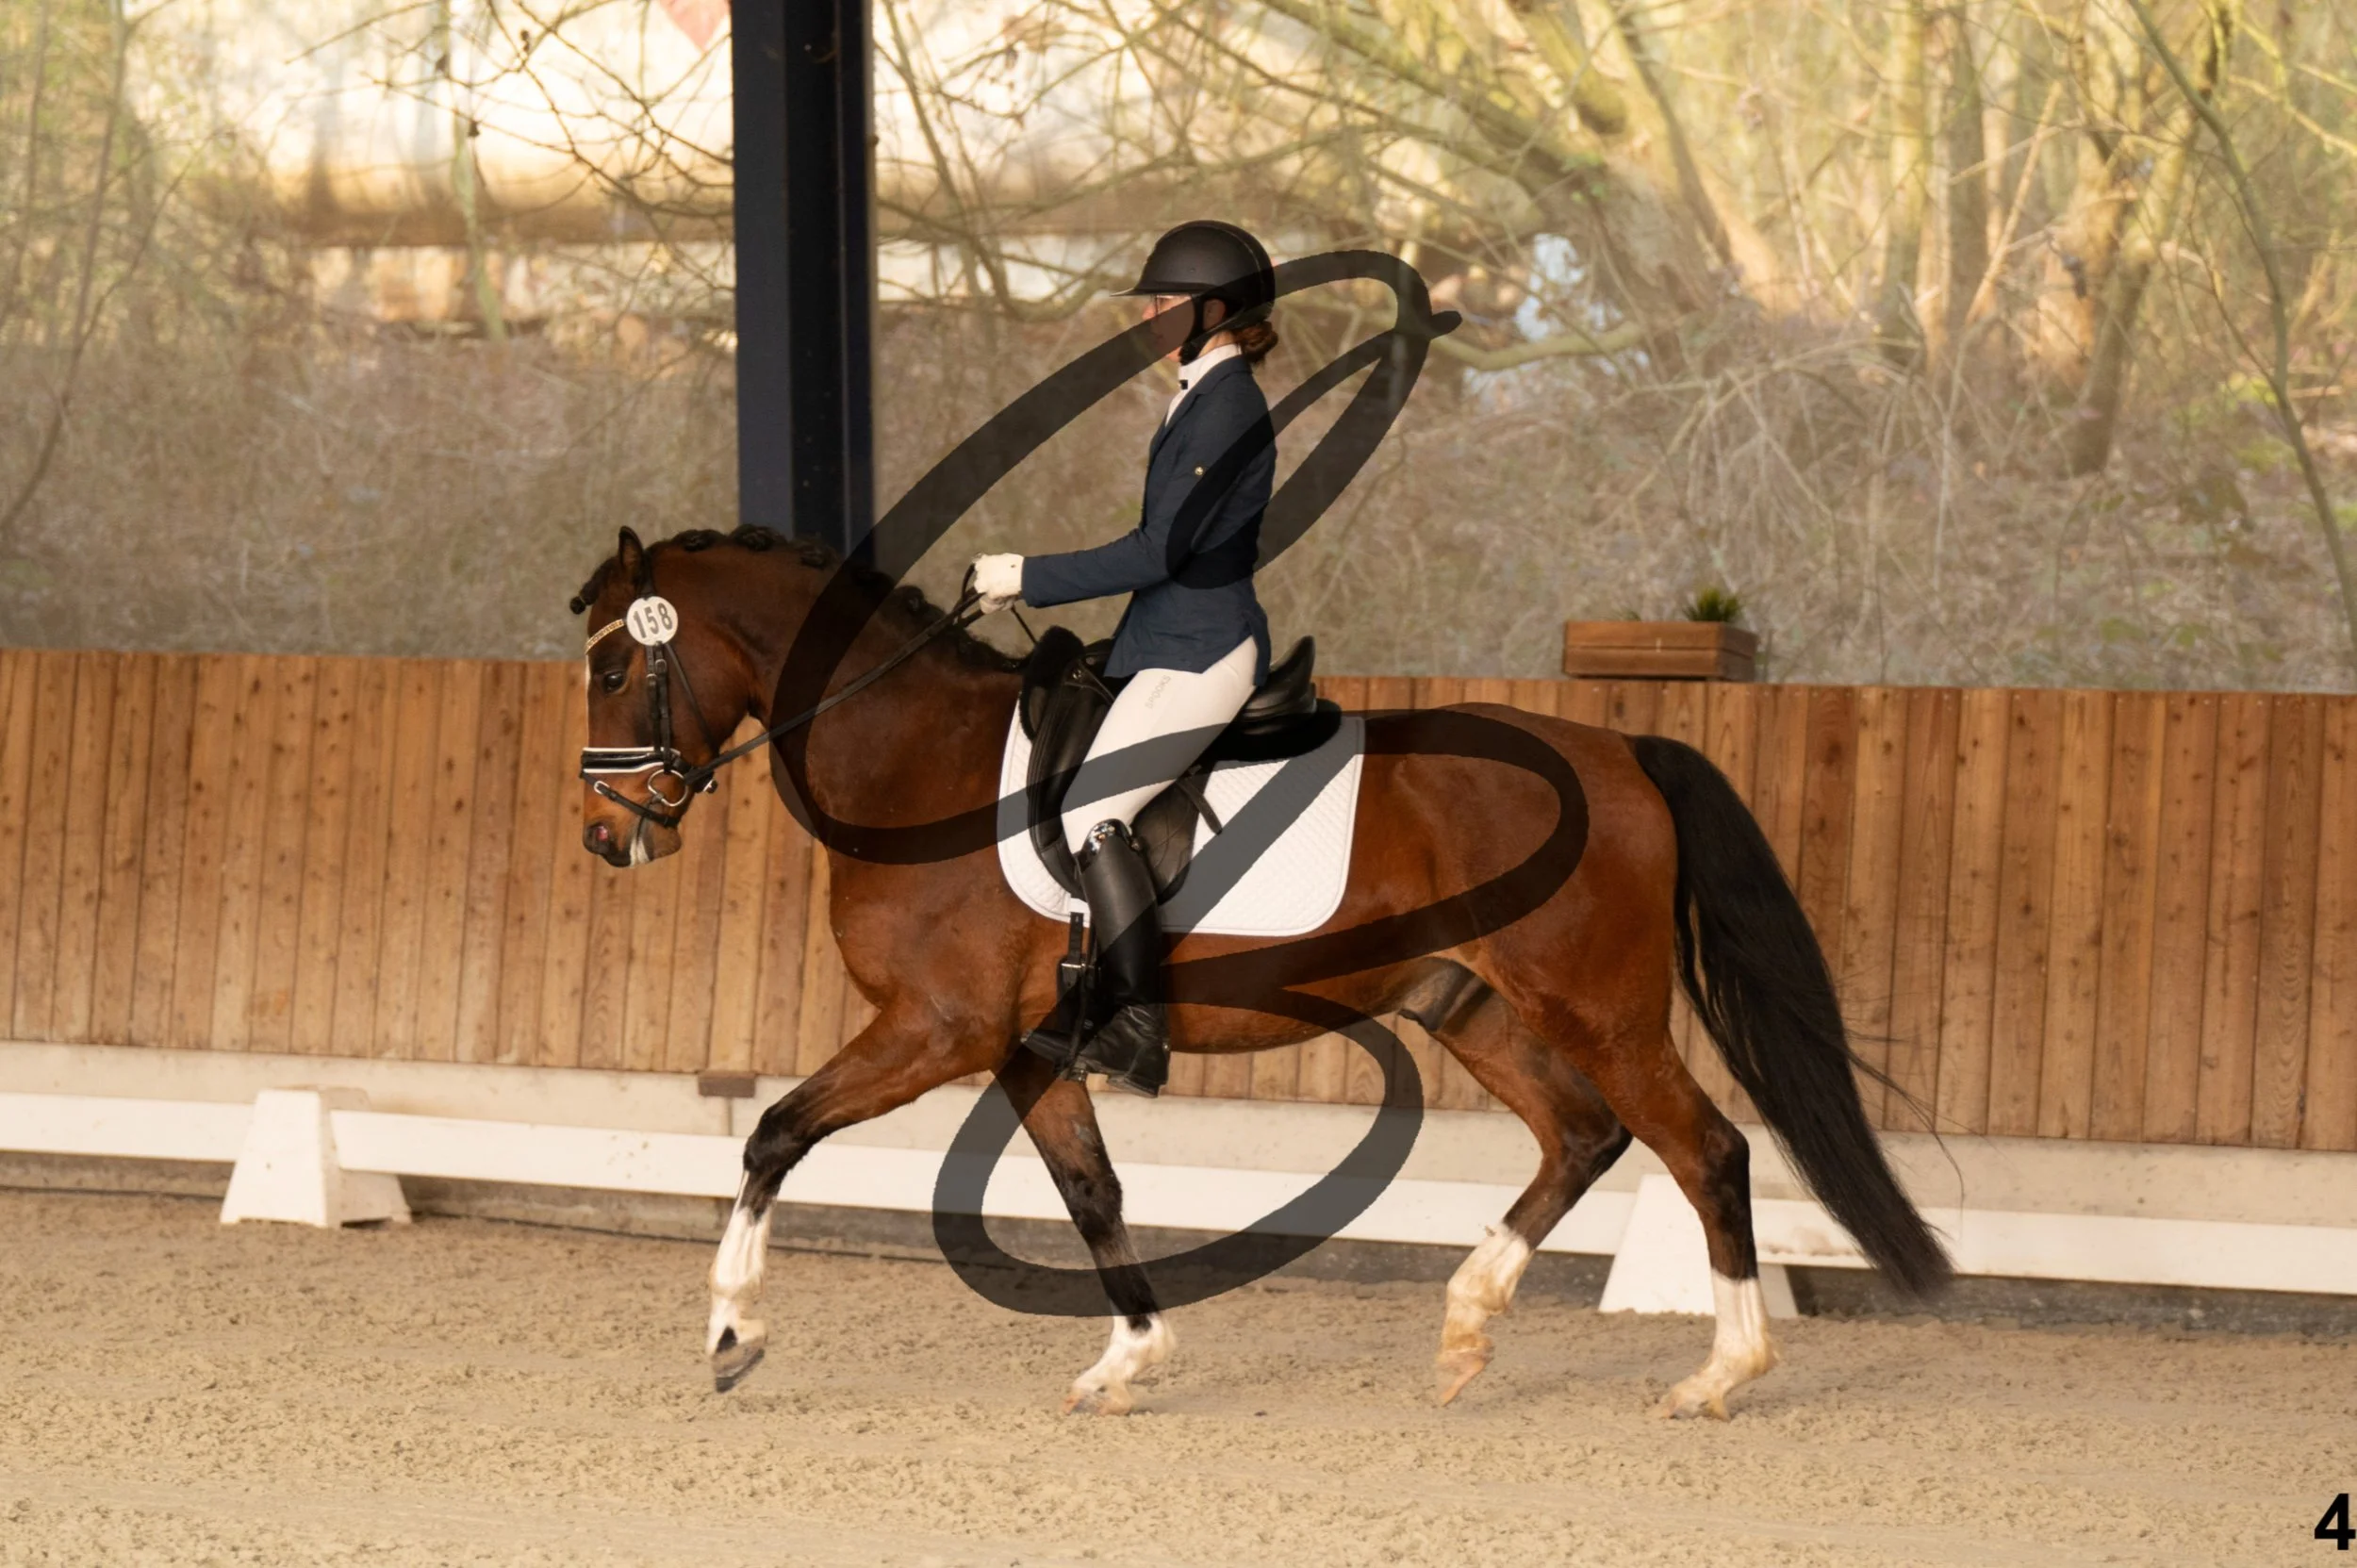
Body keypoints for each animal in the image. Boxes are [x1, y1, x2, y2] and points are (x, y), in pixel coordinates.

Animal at [571, 523, 1951, 1420]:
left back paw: (1719, 1374)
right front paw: (1129, 1359)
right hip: (1470, 1004)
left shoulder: (937, 1028)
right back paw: (1466, 1327)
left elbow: (775, 1133)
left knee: (1704, 1149)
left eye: (611, 665)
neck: (918, 760)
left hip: (1597, 1007)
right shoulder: (1023, 1048)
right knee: (1584, 1135)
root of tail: (1622, 752)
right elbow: (1094, 1191)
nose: (604, 836)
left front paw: (733, 1330)